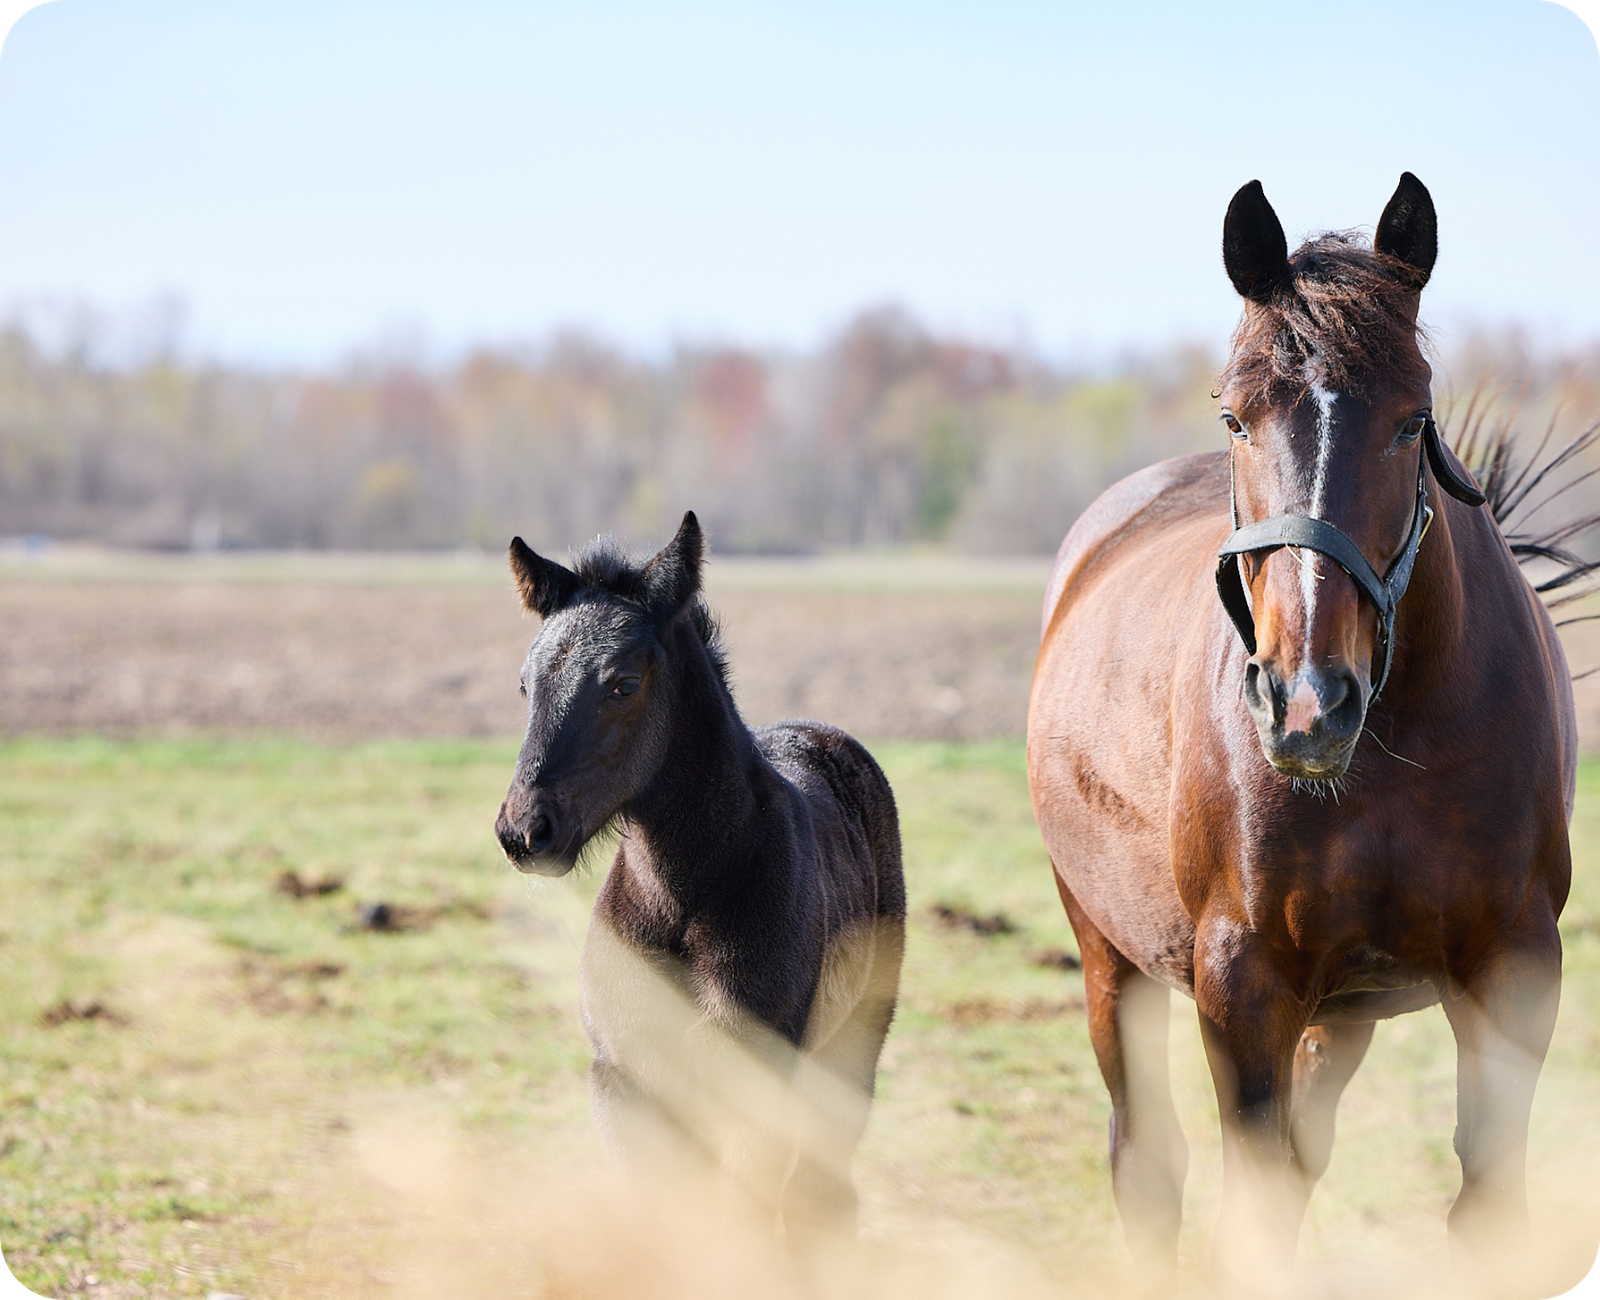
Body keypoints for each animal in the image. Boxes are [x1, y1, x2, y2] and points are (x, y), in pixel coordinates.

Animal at [494, 511, 905, 1251]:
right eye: (525, 684)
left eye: (623, 683)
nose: (524, 830)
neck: (683, 897)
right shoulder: (625, 1084)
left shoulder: (756, 1085)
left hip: (851, 1048)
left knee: (822, 1199)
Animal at [1027, 174, 1575, 1284]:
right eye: (1236, 417)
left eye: (1413, 420)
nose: (1307, 704)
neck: (1387, 759)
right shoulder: (1243, 987)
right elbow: (1255, 1205)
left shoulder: (1513, 971)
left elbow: (1484, 1202)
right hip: (1107, 953)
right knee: (1148, 1162)